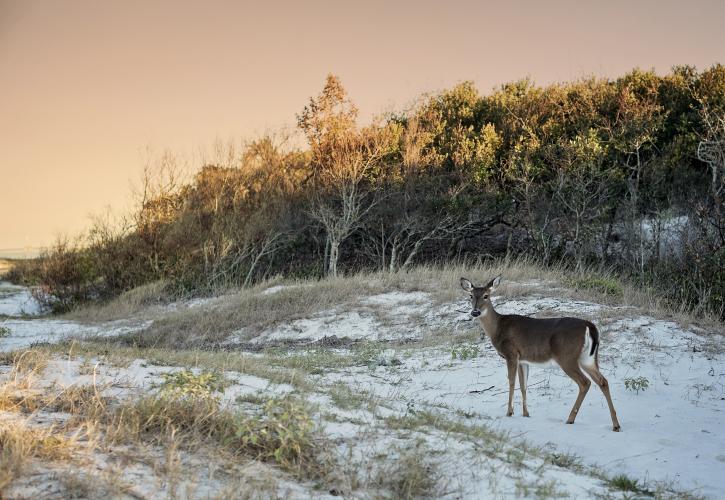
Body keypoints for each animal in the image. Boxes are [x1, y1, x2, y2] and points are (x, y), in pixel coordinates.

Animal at [460, 276, 621, 432]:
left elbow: (512, 382)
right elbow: (523, 385)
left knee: (585, 382)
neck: (498, 327)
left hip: (567, 357)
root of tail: (590, 326)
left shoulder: (511, 353)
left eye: (486, 296)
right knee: (603, 381)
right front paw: (526, 413)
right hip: (588, 358)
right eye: (471, 296)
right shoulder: (523, 359)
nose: (475, 312)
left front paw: (509, 412)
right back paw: (616, 424)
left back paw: (570, 419)